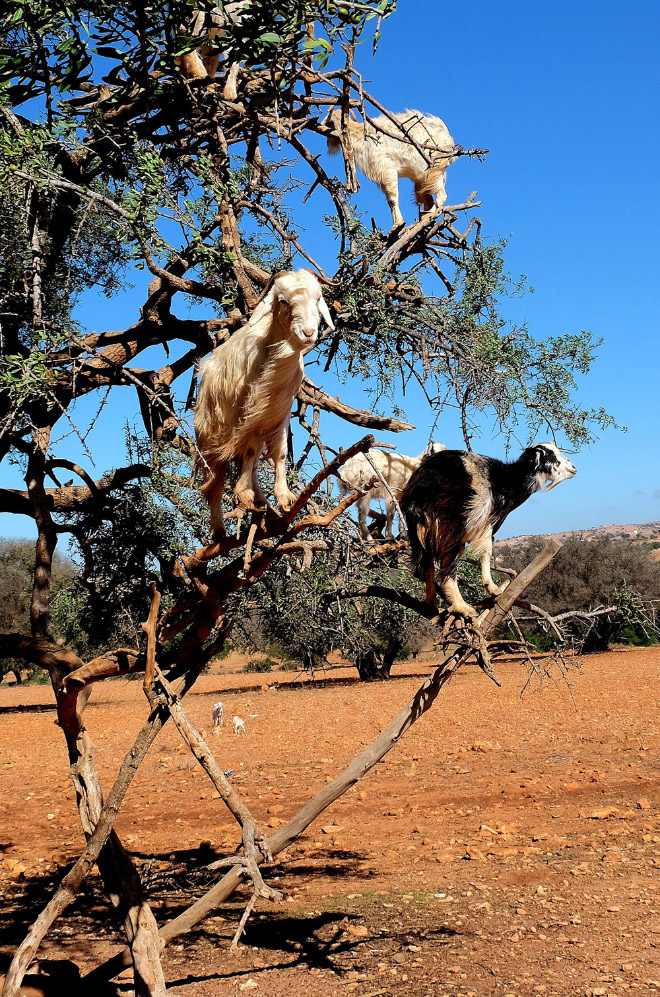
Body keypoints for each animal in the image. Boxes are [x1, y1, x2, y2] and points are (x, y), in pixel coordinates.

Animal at [193, 266, 332, 536]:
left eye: (318, 298)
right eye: (284, 301)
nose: (309, 333)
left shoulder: (278, 411)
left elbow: (278, 453)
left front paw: (284, 497)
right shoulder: (247, 414)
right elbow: (248, 452)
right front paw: (244, 493)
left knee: (253, 459)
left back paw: (259, 499)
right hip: (211, 434)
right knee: (216, 479)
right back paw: (220, 530)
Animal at [398, 444, 576, 616]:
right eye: (551, 456)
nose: (574, 468)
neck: (508, 481)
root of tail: (421, 488)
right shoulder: (487, 524)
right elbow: (486, 552)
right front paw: (492, 588)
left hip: (420, 531)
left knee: (427, 563)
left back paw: (431, 600)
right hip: (452, 526)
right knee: (447, 566)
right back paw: (463, 607)